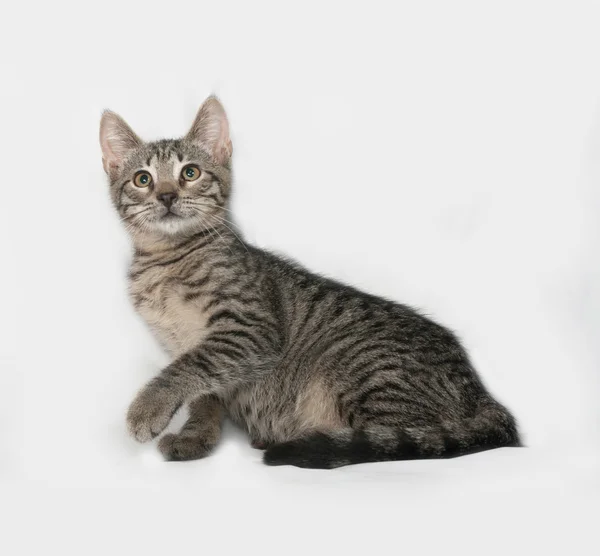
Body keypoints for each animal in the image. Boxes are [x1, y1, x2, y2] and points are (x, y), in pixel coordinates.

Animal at [99, 96, 520, 470]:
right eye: (142, 179)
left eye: (190, 173)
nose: (167, 195)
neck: (166, 260)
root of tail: (479, 387)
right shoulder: (183, 344)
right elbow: (203, 394)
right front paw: (196, 437)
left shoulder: (249, 332)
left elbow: (188, 368)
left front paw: (148, 408)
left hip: (366, 372)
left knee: (401, 439)